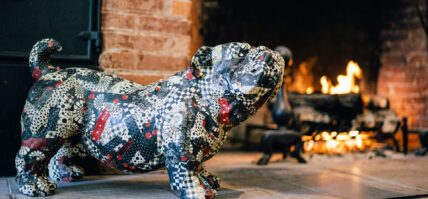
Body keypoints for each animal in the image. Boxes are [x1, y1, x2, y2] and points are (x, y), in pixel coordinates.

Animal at [15, 38, 284, 198]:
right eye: (241, 53)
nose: (268, 50)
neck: (204, 94)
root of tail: (51, 71)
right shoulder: (181, 149)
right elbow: (188, 171)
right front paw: (197, 191)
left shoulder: (199, 146)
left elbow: (201, 166)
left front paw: (209, 181)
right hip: (44, 133)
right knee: (30, 157)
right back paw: (34, 186)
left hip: (74, 135)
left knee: (61, 152)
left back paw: (67, 174)